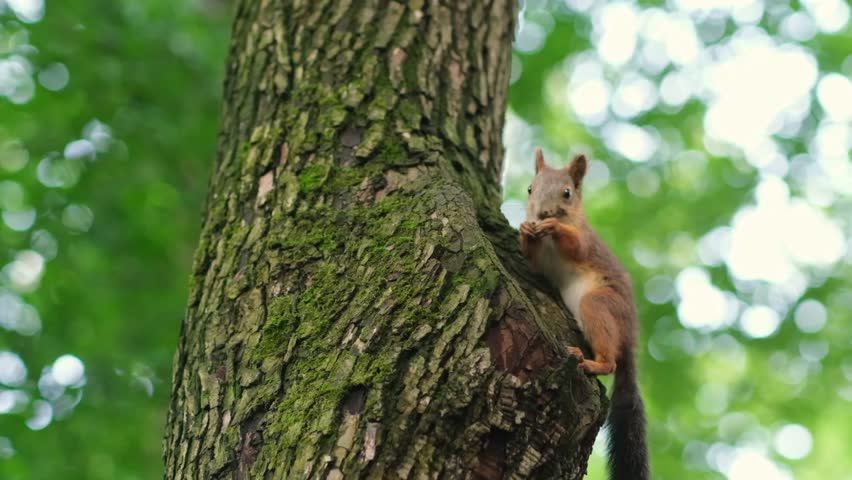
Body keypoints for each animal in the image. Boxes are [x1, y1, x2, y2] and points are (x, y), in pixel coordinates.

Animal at [519, 149, 649, 480]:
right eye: (530, 188)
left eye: (567, 193)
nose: (543, 214)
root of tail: (630, 336)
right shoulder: (539, 258)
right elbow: (532, 259)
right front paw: (524, 230)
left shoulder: (586, 242)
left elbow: (576, 247)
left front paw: (555, 227)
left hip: (600, 305)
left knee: (610, 361)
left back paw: (591, 362)